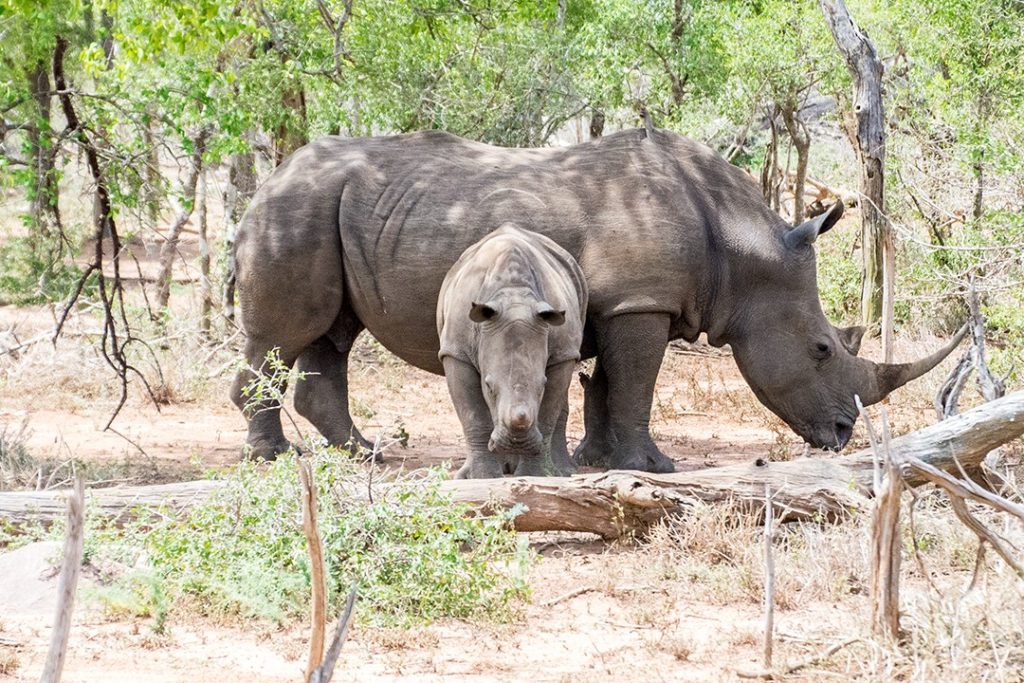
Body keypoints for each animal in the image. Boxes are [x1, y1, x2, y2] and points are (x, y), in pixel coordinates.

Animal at [436, 227, 589, 479]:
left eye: (542, 385)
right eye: (489, 387)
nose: (517, 441)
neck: (513, 294)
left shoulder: (563, 353)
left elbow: (547, 415)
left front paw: (534, 475)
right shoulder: (456, 352)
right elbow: (473, 416)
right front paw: (483, 478)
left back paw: (559, 471)